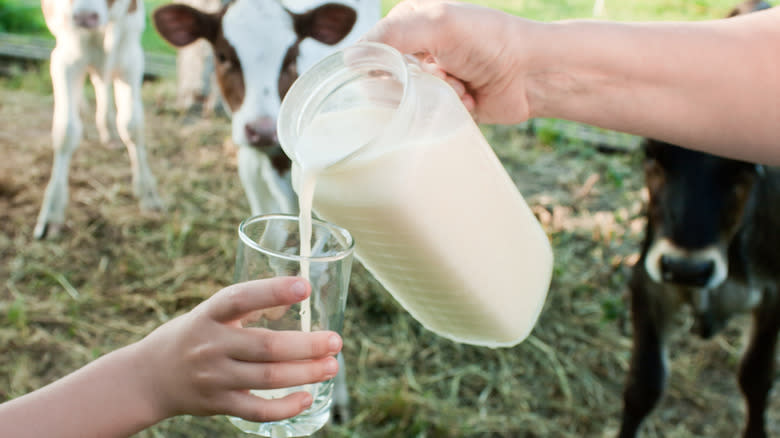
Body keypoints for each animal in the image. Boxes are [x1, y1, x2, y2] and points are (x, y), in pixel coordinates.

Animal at [36, 0, 163, 240]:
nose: (85, 17)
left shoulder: (131, 57)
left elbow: (132, 125)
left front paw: (148, 192)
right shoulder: (64, 59)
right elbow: (66, 130)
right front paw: (52, 210)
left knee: (100, 81)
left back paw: (109, 132)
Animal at [616, 139, 780, 434]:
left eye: (746, 164)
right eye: (651, 151)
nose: (686, 269)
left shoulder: (774, 294)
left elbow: (756, 377)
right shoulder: (649, 283)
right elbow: (642, 386)